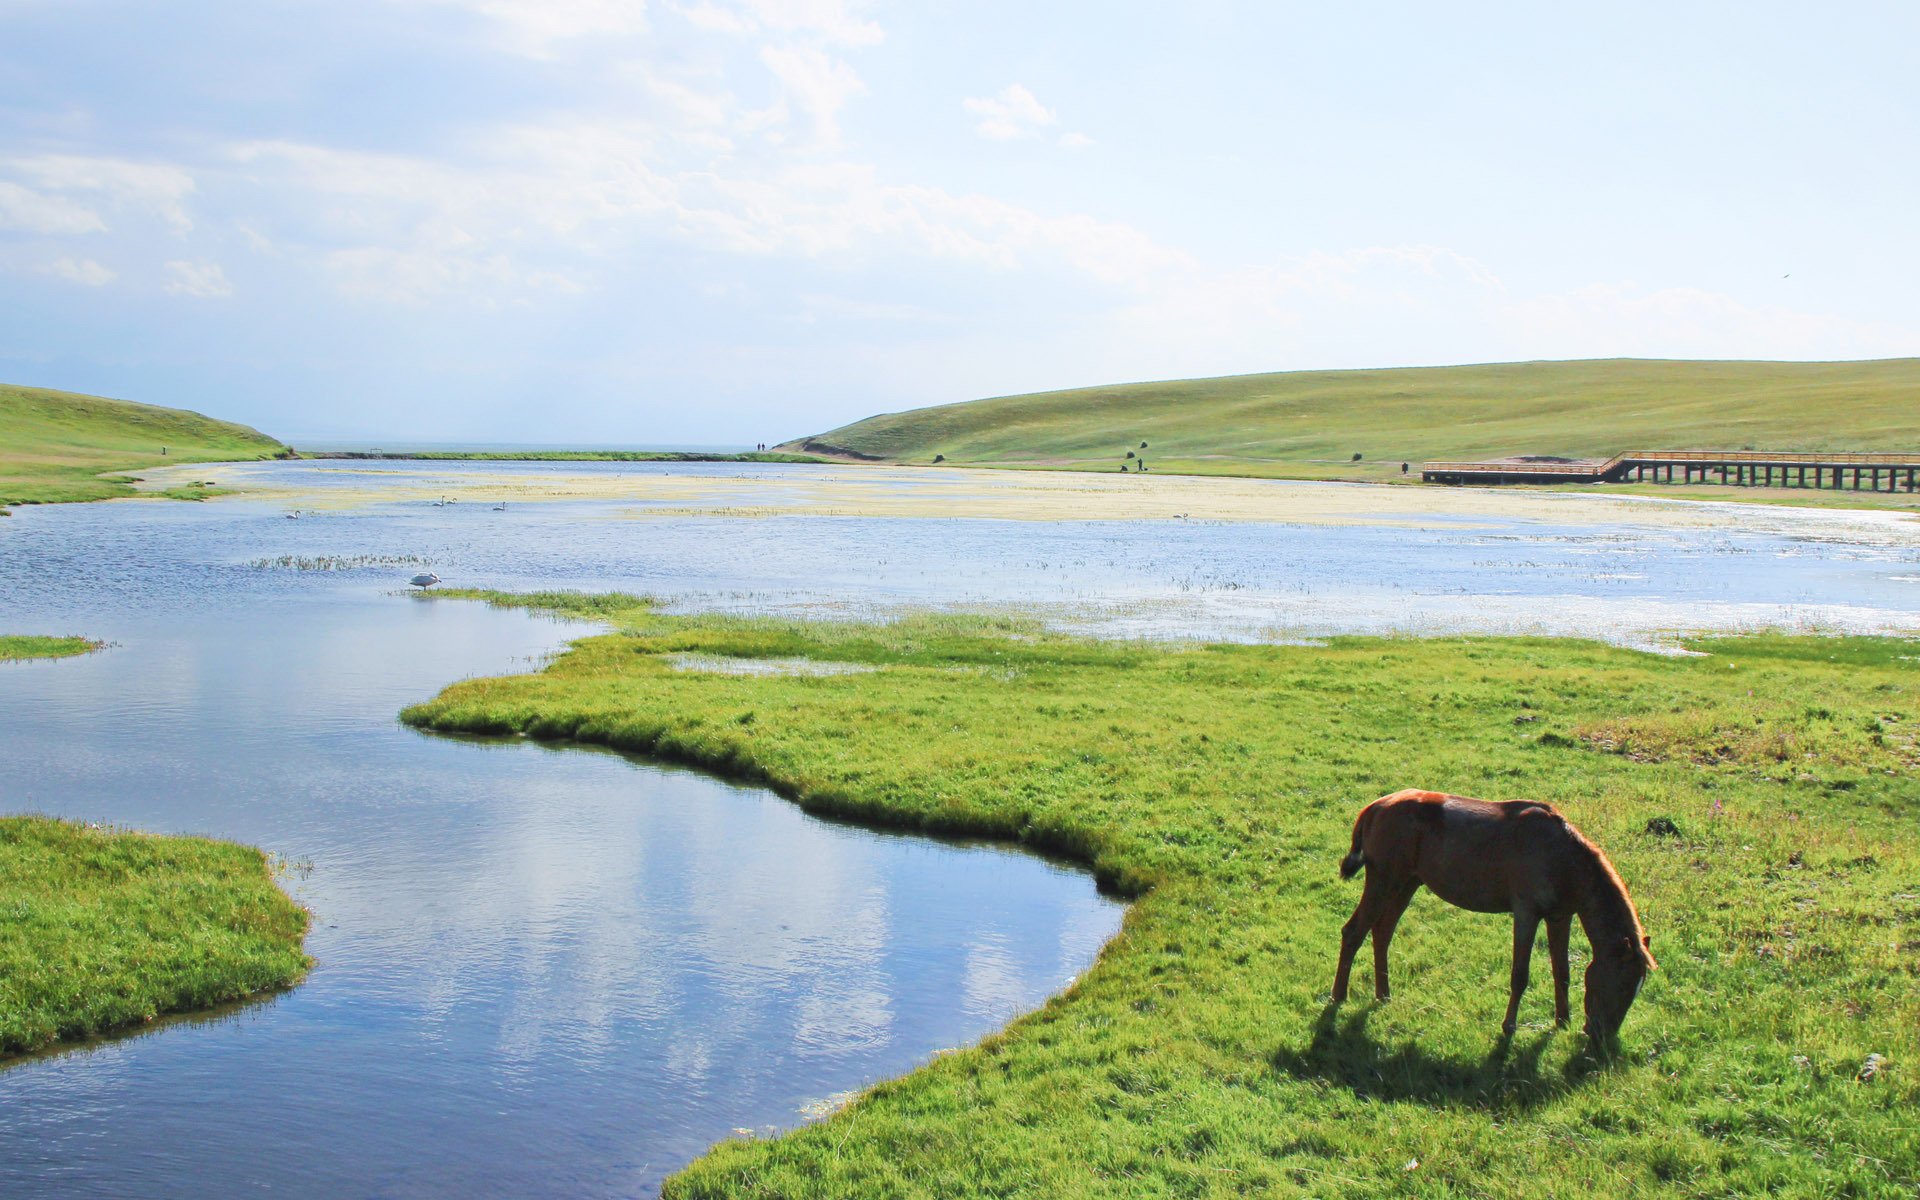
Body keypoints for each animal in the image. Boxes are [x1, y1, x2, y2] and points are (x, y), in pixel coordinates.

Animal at [1328, 787, 1658, 1036]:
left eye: (1636, 987)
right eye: (1621, 983)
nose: (1601, 1036)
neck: (1562, 857)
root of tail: (1375, 807)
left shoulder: (1559, 917)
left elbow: (1561, 971)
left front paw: (1562, 1020)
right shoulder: (1526, 914)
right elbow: (1520, 974)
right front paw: (1509, 1026)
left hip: (1407, 883)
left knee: (1382, 932)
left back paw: (1383, 993)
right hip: (1384, 881)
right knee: (1353, 932)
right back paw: (1338, 995)